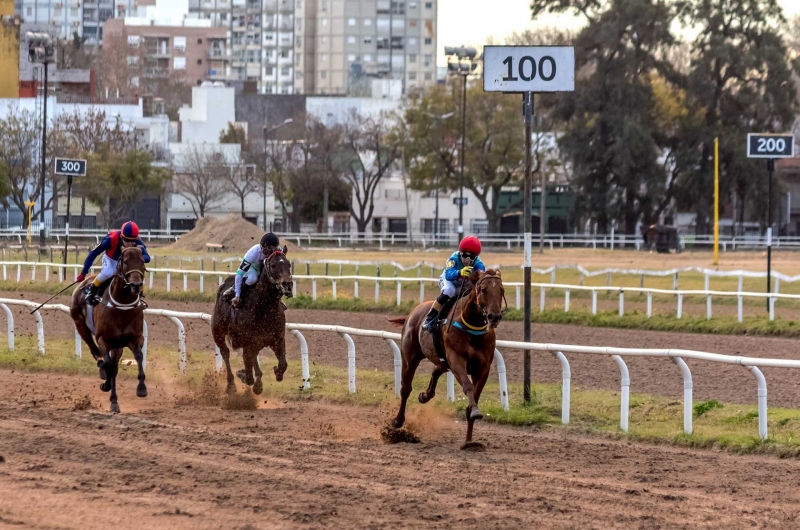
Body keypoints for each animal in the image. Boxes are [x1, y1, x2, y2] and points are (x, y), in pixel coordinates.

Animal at [69, 244, 148, 412]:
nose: (136, 285)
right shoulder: (103, 340)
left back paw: (114, 401)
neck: (122, 307)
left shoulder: (135, 338)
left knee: (114, 367)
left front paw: (141, 388)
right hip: (80, 324)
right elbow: (108, 364)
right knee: (95, 350)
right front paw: (105, 383)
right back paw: (102, 372)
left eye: (142, 262)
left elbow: (138, 357)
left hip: (118, 345)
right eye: (125, 262)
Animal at [212, 245, 294, 394]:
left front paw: (276, 372)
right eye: (273, 266)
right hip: (218, 332)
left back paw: (258, 381)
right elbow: (248, 375)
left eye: (288, 264)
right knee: (225, 353)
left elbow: (283, 364)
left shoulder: (278, 339)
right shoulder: (247, 342)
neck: (264, 310)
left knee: (254, 357)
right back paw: (231, 384)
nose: (287, 285)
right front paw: (242, 374)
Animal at [388, 268, 506, 446]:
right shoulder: (457, 360)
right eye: (483, 290)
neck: (472, 327)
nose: (495, 317)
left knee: (436, 371)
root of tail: (413, 312)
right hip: (410, 357)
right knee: (406, 389)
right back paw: (398, 421)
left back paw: (425, 396)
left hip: (443, 360)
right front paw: (476, 412)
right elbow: (468, 386)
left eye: (501, 290)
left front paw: (469, 441)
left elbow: (474, 398)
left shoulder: (483, 368)